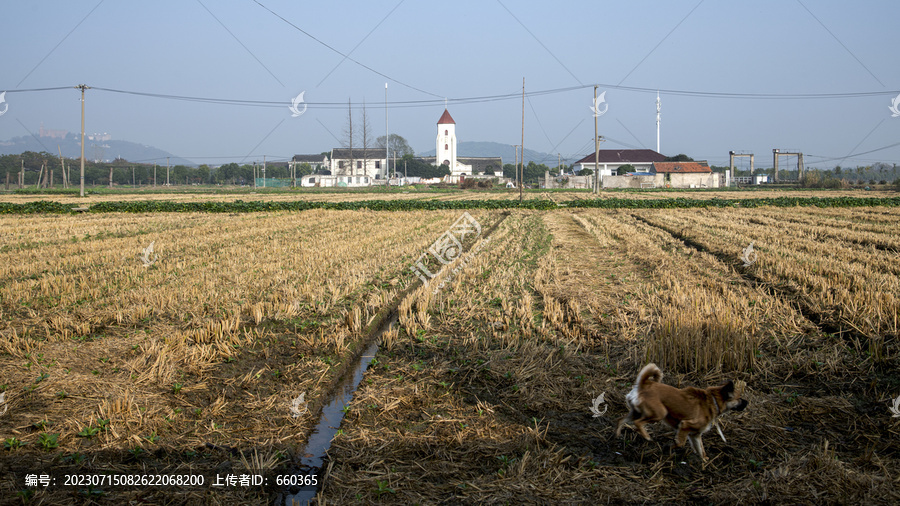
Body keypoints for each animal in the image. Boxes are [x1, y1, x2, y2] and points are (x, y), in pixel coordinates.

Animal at [616, 364, 748, 458]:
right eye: (739, 398)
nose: (747, 402)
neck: (713, 400)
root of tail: (643, 384)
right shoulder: (685, 425)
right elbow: (680, 443)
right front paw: (668, 447)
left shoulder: (695, 435)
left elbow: (701, 450)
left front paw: (705, 463)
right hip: (660, 413)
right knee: (638, 423)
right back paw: (647, 437)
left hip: (635, 412)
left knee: (621, 420)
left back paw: (617, 435)